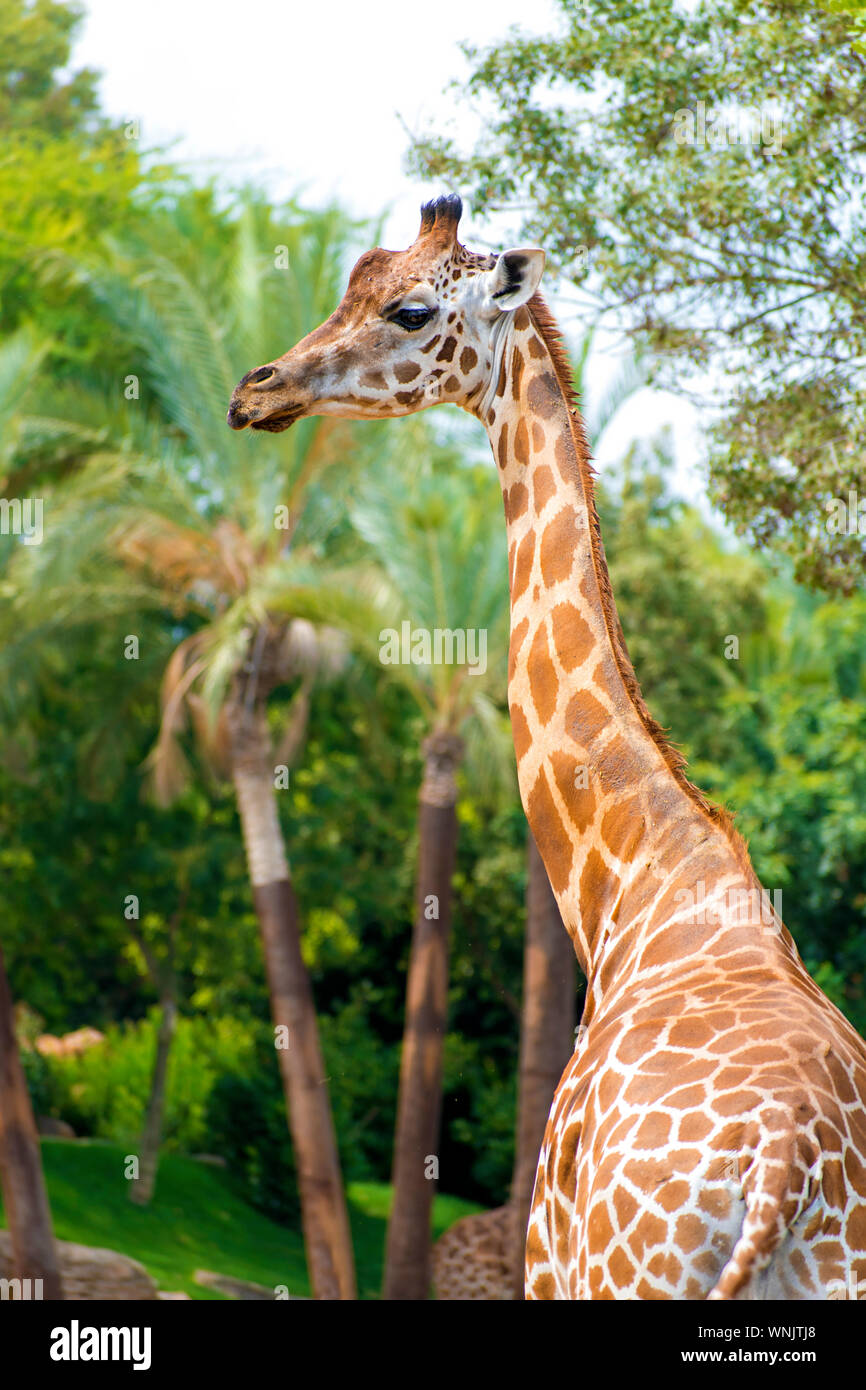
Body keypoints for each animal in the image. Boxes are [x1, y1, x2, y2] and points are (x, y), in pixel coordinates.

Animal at [229, 190, 866, 1295]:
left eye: (407, 310)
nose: (255, 390)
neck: (634, 884)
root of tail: (789, 1165)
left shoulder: (548, 1258)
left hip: (626, 1270)